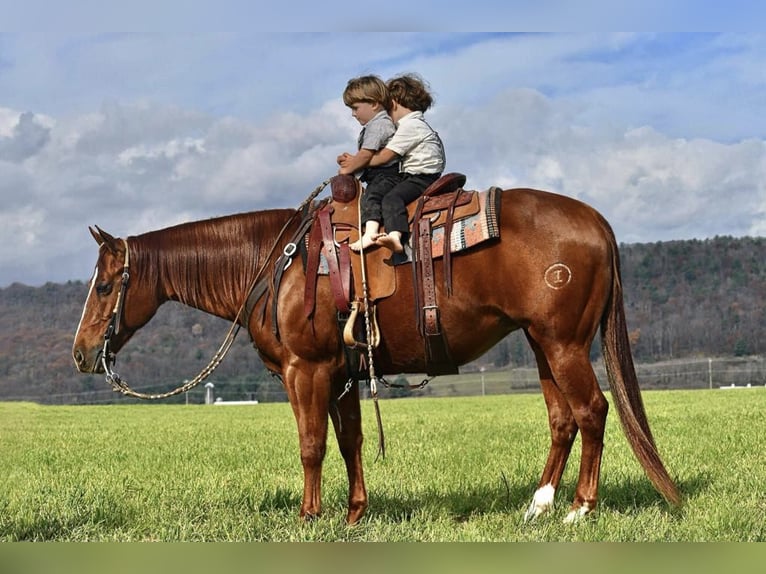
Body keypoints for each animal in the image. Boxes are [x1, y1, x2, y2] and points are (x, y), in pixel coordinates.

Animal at [73, 181, 684, 528]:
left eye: (103, 286)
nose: (80, 354)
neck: (275, 264)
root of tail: (596, 221)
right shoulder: (341, 373)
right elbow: (350, 442)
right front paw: (354, 514)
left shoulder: (305, 370)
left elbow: (313, 445)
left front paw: (309, 516)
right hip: (543, 343)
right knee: (563, 419)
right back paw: (538, 505)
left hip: (562, 343)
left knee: (592, 412)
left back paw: (581, 508)